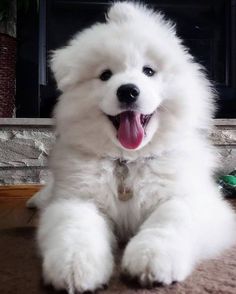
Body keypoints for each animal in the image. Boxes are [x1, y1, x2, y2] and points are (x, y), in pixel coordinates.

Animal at [29, 2, 236, 294]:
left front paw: (151, 259)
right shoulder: (76, 199)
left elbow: (171, 218)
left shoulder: (194, 199)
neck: (128, 160)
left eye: (148, 71)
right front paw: (75, 267)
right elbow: (75, 227)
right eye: (105, 75)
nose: (128, 91)